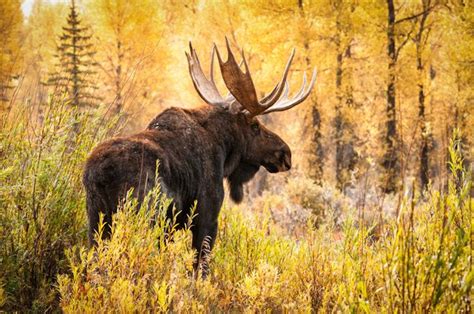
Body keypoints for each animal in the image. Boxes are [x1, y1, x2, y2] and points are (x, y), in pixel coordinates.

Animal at [83, 38, 316, 274]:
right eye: (255, 126)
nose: (286, 154)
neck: (224, 152)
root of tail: (99, 174)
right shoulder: (207, 213)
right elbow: (201, 267)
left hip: (97, 218)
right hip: (143, 214)